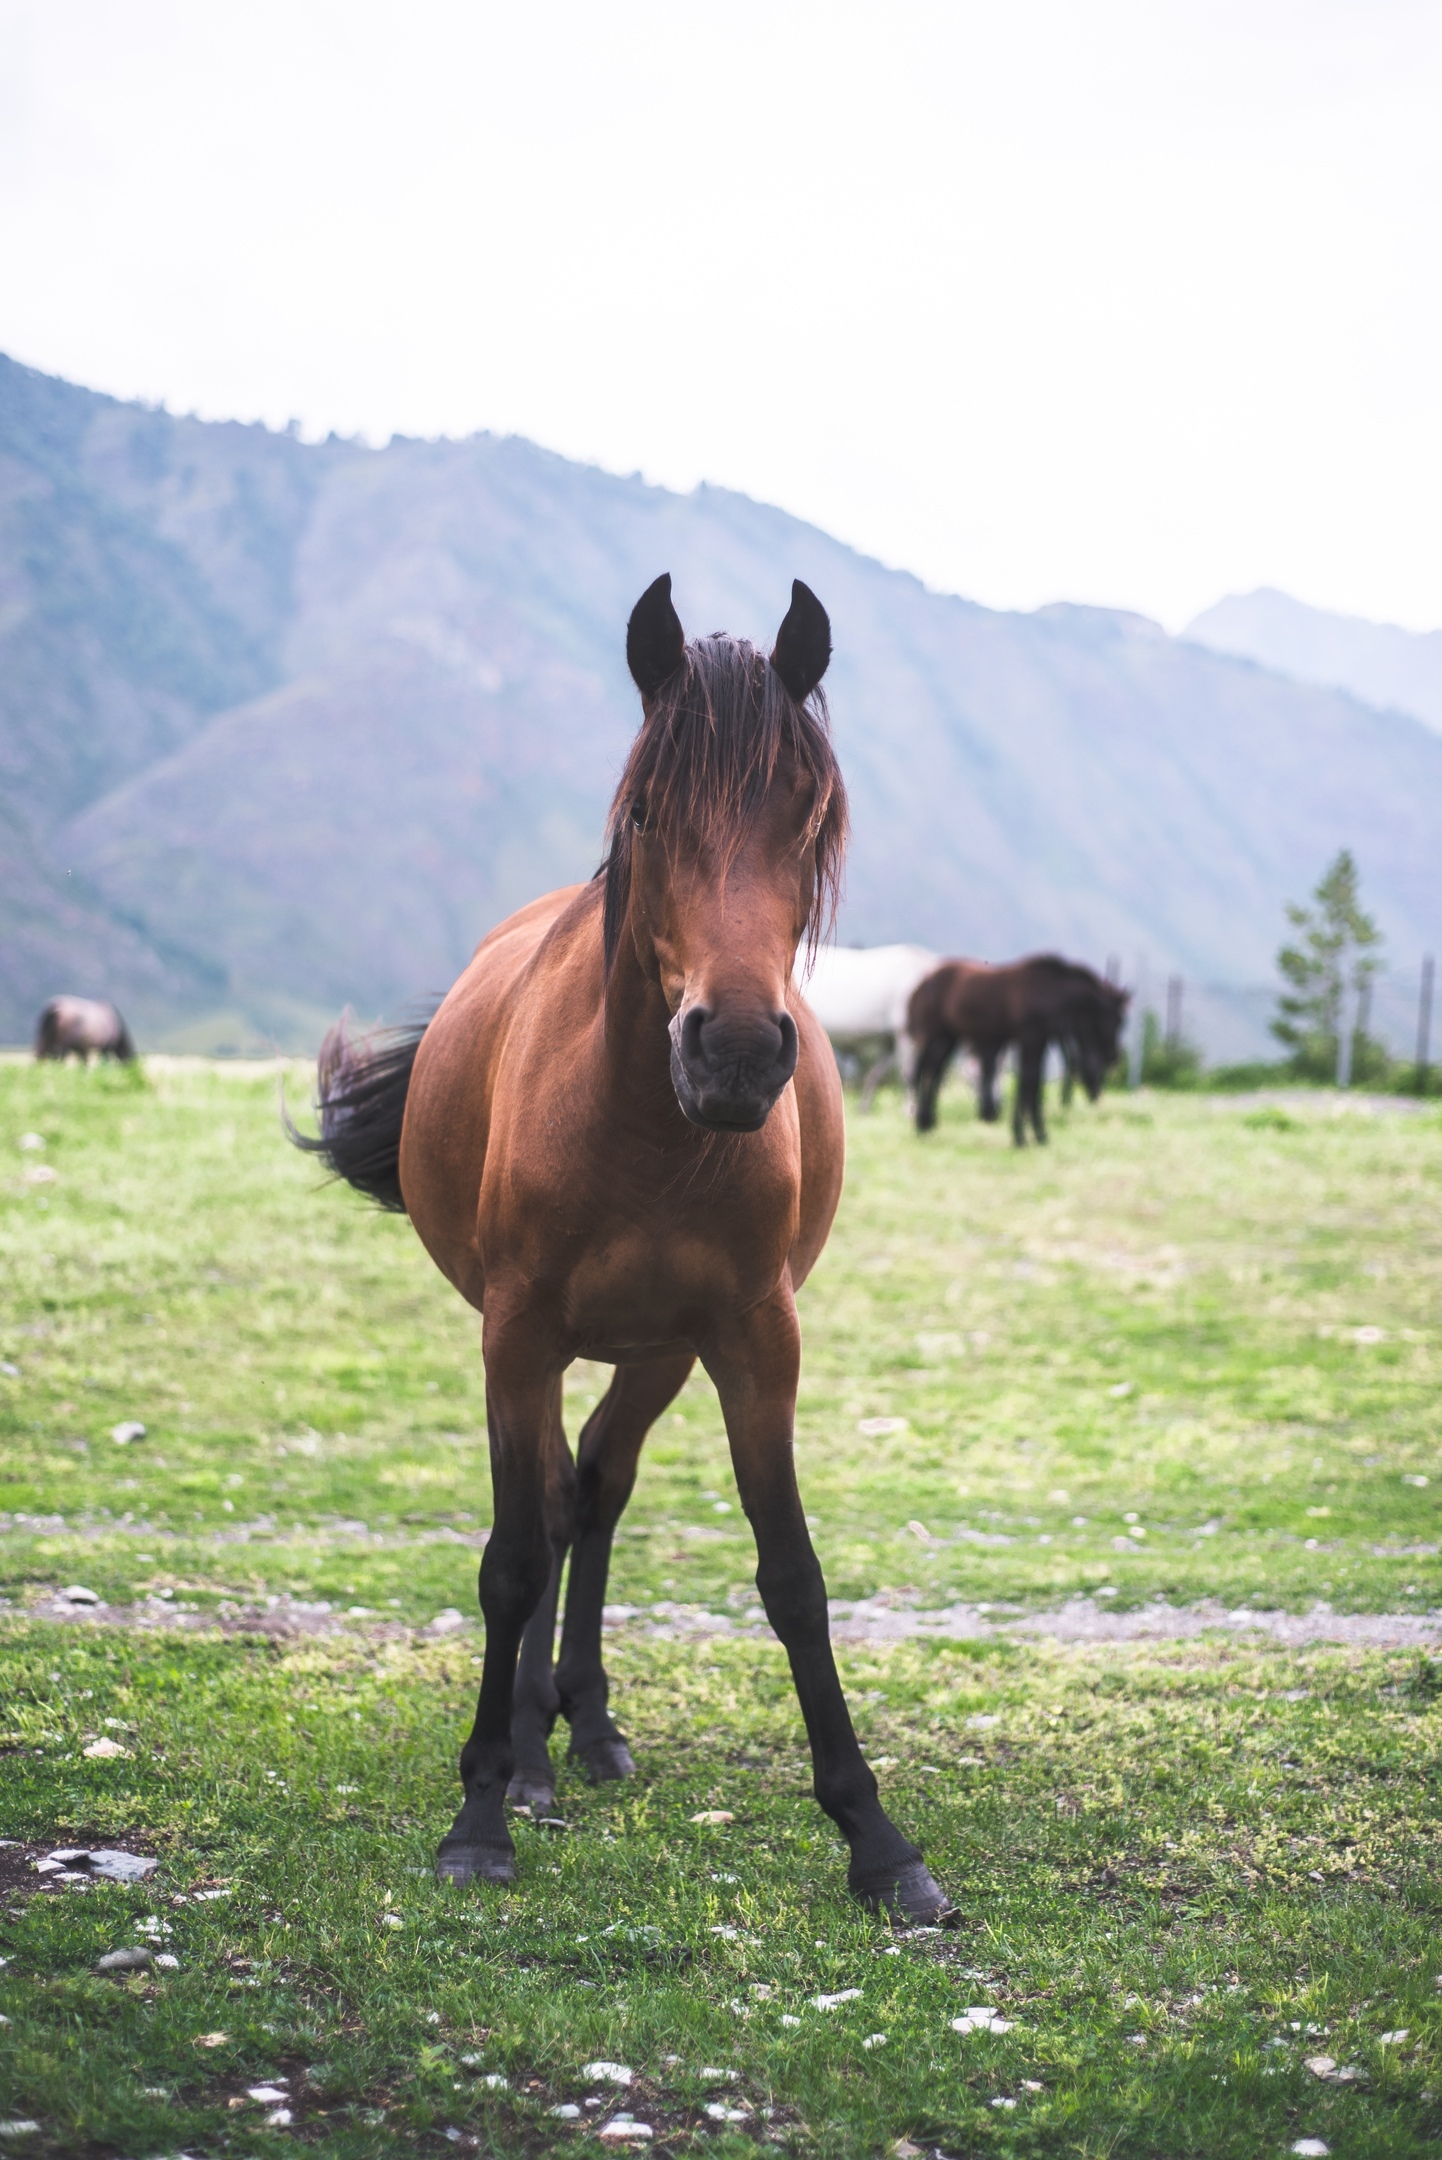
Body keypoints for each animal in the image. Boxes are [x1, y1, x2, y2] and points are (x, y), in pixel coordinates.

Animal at [910, 954, 1122, 1140]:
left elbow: (1033, 1082)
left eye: (1121, 1021)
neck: (1048, 990)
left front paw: (1036, 1135)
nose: (1112, 1056)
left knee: (933, 1069)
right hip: (932, 1032)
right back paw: (921, 1122)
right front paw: (1023, 1136)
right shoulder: (1029, 1039)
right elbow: (1027, 1081)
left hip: (950, 1036)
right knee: (924, 1069)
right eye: (1111, 1018)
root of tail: (923, 983)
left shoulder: (1040, 1040)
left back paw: (926, 1122)